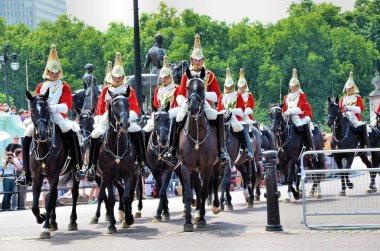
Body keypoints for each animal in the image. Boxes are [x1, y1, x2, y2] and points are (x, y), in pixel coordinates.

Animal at [26, 90, 80, 239]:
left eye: (47, 110)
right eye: (32, 110)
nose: (43, 134)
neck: (43, 147)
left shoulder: (54, 176)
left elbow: (49, 202)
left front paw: (45, 228)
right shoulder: (37, 178)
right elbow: (35, 206)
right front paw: (42, 218)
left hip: (73, 171)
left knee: (74, 193)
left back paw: (72, 221)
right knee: (55, 194)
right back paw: (53, 222)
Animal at [97, 88, 139, 233]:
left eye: (128, 104)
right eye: (114, 105)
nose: (124, 124)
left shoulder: (129, 175)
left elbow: (127, 197)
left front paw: (128, 218)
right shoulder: (107, 176)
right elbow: (110, 199)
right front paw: (111, 225)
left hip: (135, 175)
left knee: (129, 194)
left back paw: (127, 215)